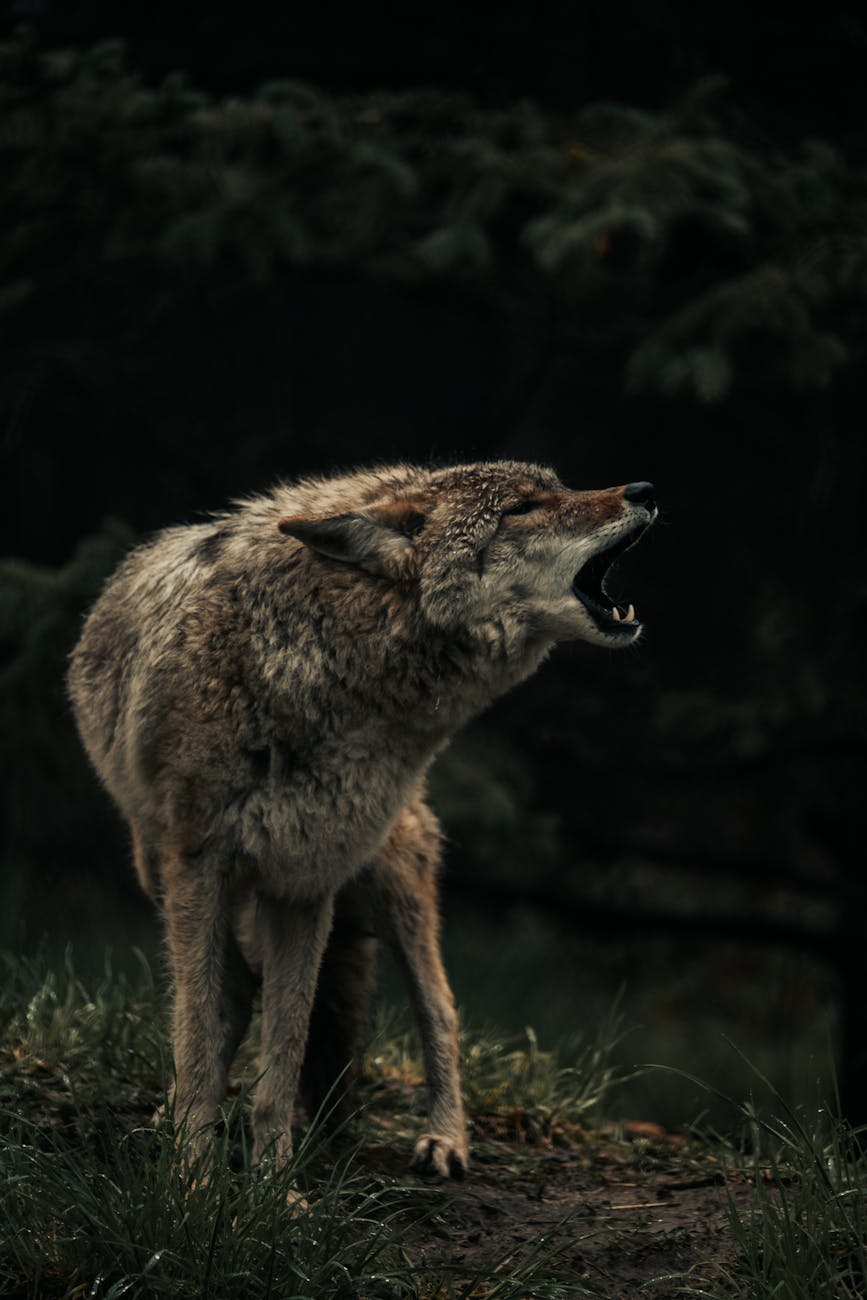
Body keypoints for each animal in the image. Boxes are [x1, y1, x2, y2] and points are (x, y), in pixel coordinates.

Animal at [67, 461, 656, 1180]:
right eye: (520, 508)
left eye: (560, 488)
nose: (644, 490)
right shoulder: (202, 870)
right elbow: (203, 1029)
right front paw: (196, 1181)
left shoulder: (306, 881)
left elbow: (284, 1053)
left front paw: (273, 1189)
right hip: (161, 873)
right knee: (229, 996)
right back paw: (178, 1117)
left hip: (394, 887)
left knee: (439, 1007)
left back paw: (445, 1140)